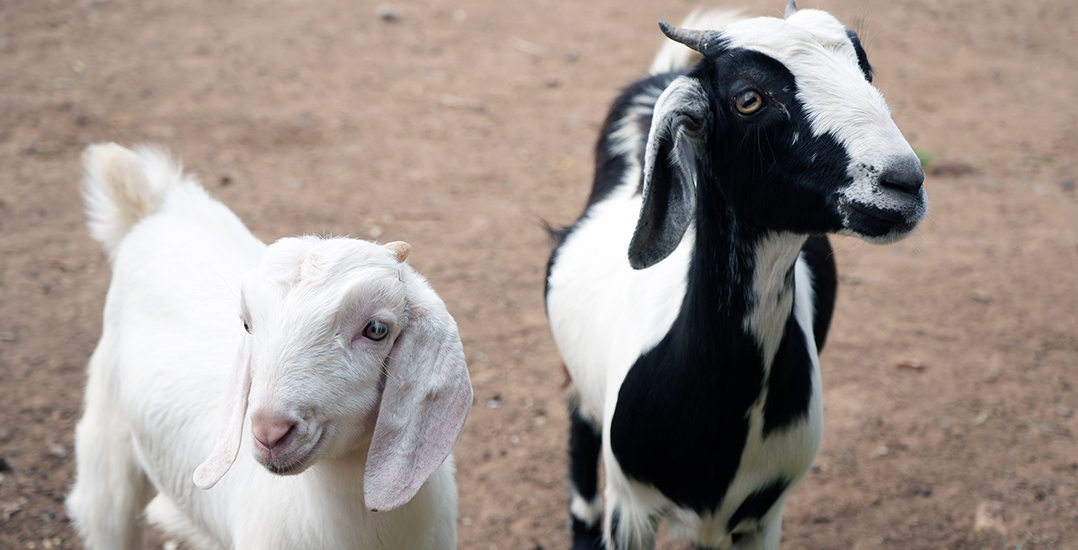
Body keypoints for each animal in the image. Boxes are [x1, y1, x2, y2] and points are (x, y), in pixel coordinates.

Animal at [547, 4, 927, 550]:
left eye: (867, 70)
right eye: (749, 99)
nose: (905, 182)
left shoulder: (764, 515)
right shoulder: (631, 507)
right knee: (578, 423)